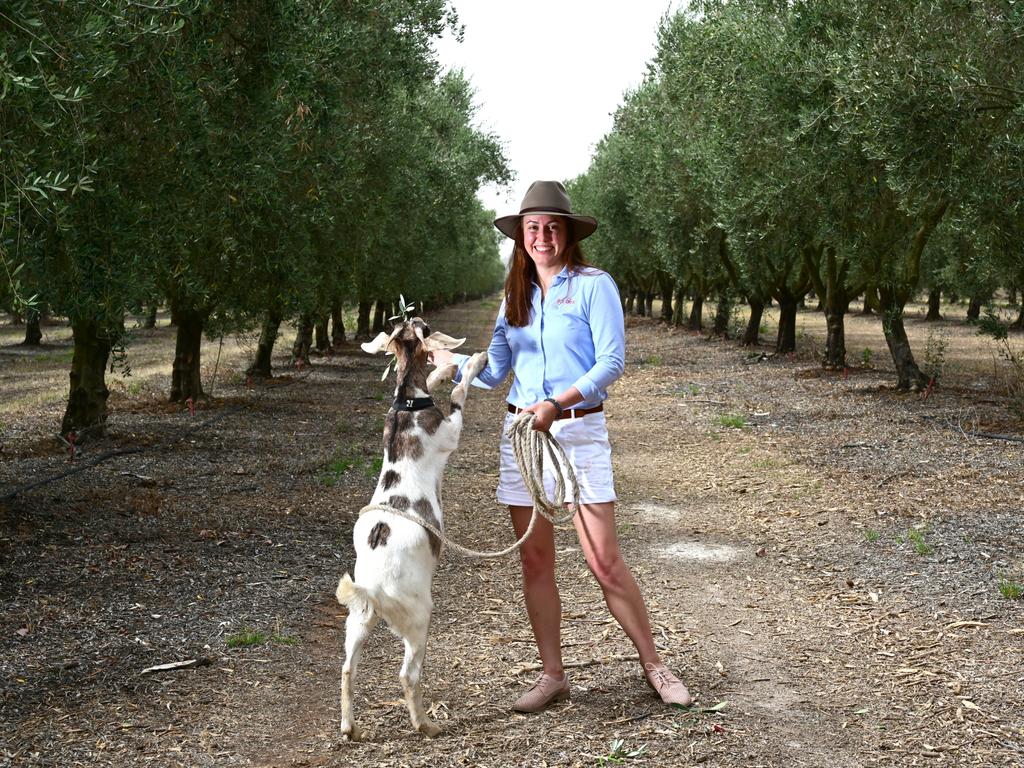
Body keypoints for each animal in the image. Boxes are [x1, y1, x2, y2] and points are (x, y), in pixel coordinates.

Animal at [331, 315, 483, 741]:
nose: (417, 319)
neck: (406, 403)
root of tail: (373, 588)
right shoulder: (450, 431)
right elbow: (460, 395)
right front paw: (472, 363)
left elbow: (434, 380)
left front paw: (443, 371)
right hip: (419, 622)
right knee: (408, 675)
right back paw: (425, 724)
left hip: (357, 623)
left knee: (347, 669)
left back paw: (350, 728)